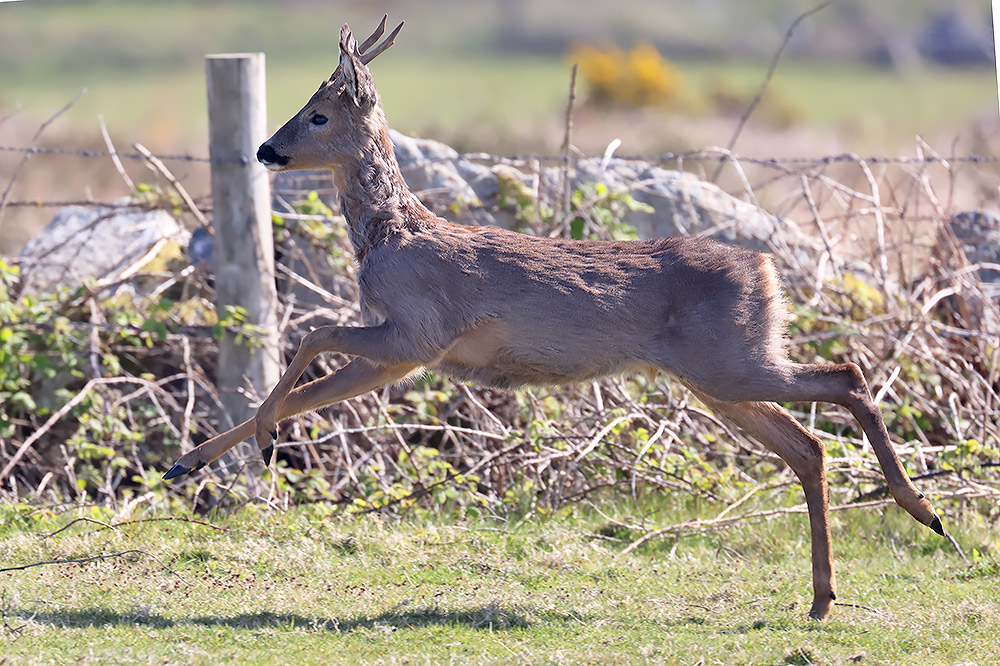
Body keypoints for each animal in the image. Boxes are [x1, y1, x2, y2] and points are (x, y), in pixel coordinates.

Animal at [163, 16, 944, 620]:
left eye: (319, 114)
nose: (266, 149)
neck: (390, 237)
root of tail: (768, 272)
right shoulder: (409, 352)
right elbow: (308, 376)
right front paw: (187, 461)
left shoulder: (418, 330)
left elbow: (310, 334)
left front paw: (262, 441)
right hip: (719, 377)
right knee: (807, 445)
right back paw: (823, 596)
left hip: (731, 364)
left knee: (846, 376)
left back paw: (919, 510)